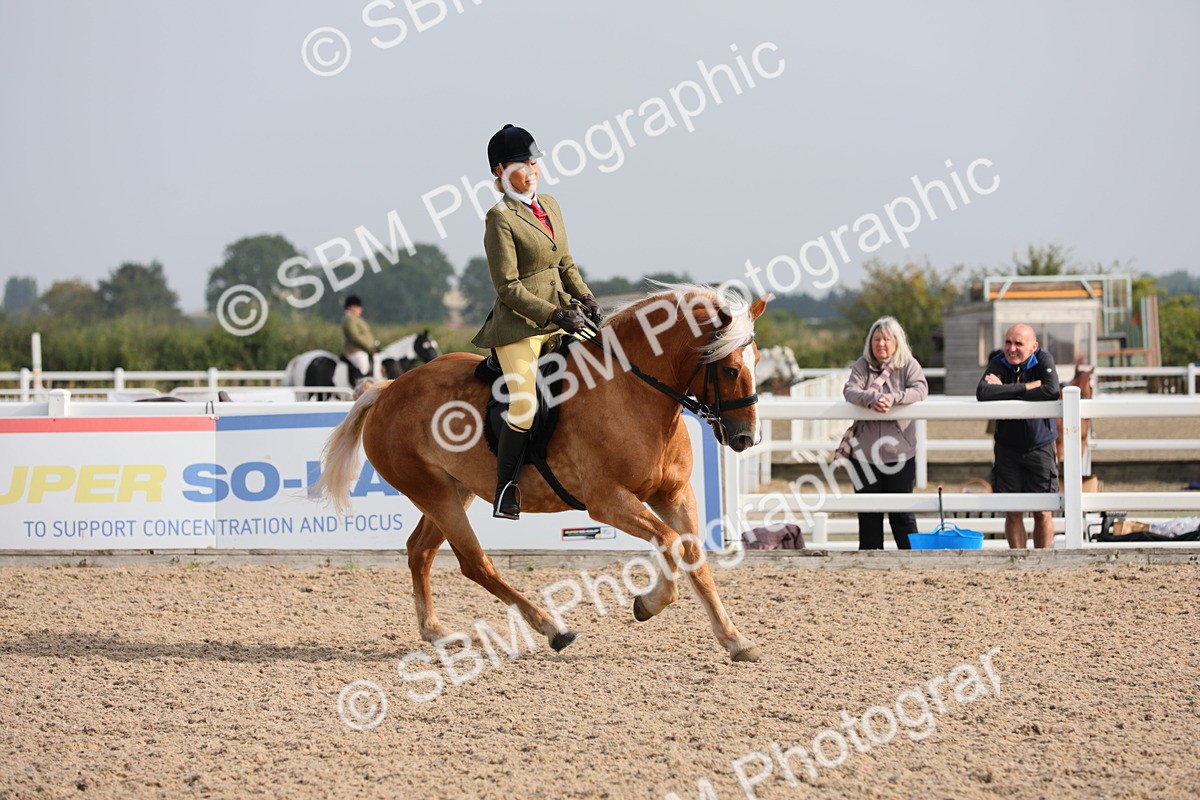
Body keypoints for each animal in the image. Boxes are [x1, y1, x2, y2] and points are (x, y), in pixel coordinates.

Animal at [314, 286, 769, 662]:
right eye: (729, 369)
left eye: (757, 361)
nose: (747, 438)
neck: (632, 390)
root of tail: (388, 390)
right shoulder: (608, 502)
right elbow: (673, 543)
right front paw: (649, 603)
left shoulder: (674, 494)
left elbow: (694, 555)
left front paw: (735, 640)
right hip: (435, 494)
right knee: (474, 563)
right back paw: (554, 629)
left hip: (453, 490)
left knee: (420, 551)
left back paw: (439, 634)